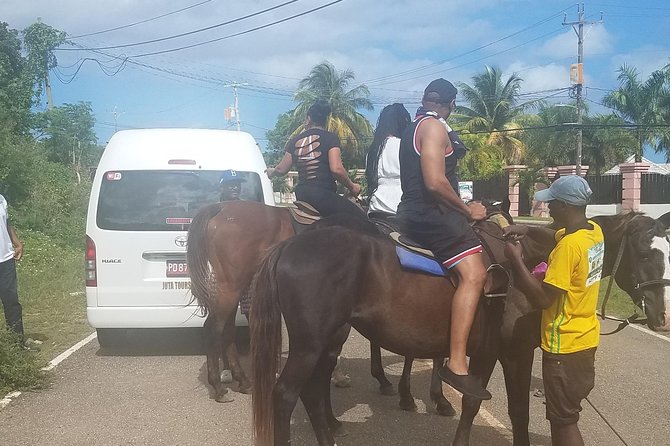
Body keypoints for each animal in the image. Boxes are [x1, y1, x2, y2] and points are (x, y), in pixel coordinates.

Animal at [251, 213, 670, 446]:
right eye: (645, 252)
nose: (661, 314)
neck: (530, 268)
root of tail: (291, 244)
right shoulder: (505, 353)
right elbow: (482, 405)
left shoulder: (505, 354)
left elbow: (514, 411)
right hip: (310, 344)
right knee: (286, 395)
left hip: (326, 339)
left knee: (314, 389)